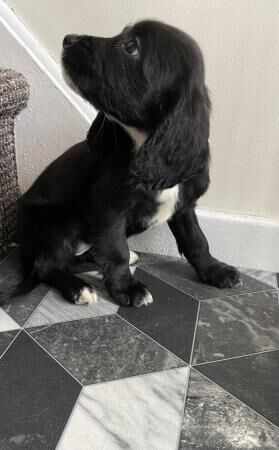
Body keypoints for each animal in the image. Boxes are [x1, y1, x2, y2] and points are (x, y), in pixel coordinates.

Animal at [15, 22, 241, 308]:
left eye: (131, 47)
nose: (69, 39)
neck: (144, 144)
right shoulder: (108, 208)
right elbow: (116, 250)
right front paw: (128, 288)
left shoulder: (183, 204)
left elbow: (196, 239)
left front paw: (215, 270)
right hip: (57, 223)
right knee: (46, 266)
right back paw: (77, 287)